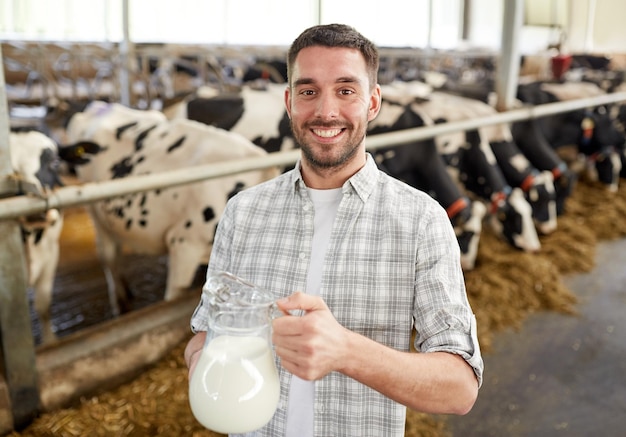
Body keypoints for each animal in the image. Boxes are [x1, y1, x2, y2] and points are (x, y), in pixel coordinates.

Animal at [58, 100, 278, 316]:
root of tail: (100, 105)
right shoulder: (183, 244)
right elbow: (172, 299)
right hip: (95, 211)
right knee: (109, 256)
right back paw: (121, 304)